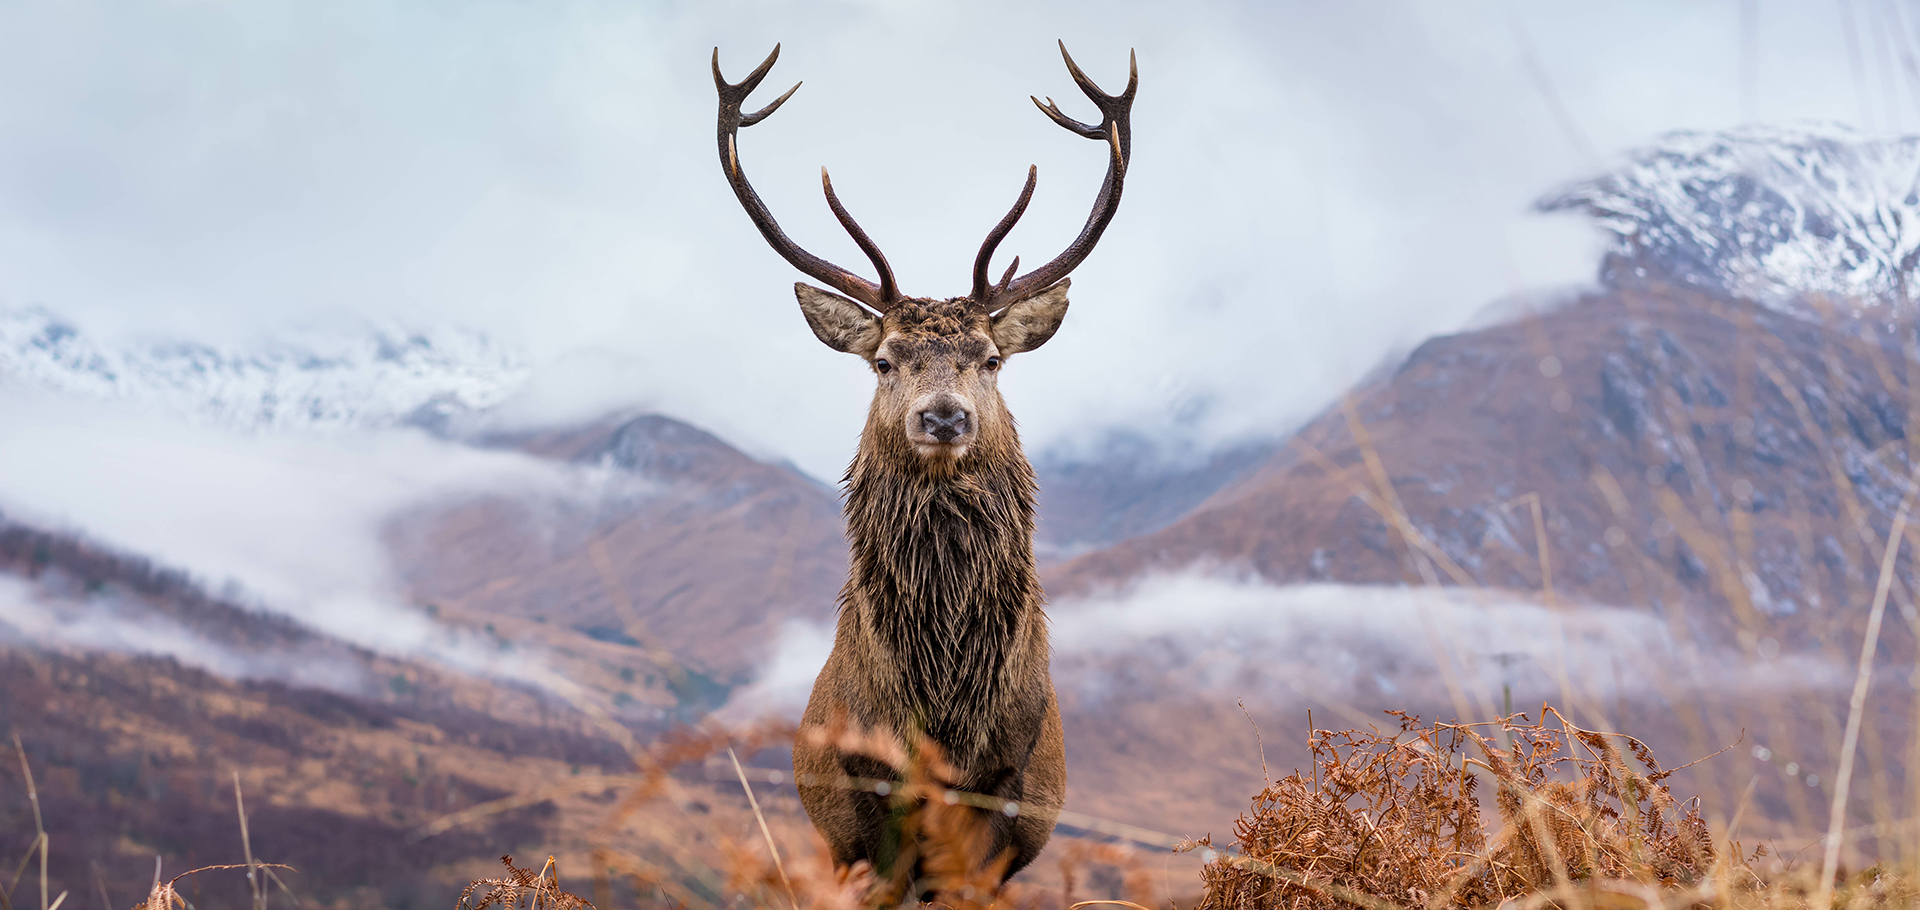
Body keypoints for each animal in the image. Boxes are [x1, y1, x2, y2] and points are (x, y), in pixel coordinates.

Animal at [712, 42, 1135, 897]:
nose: (943, 417)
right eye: (883, 360)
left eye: (992, 357)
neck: (942, 711)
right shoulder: (865, 805)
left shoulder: (1001, 797)